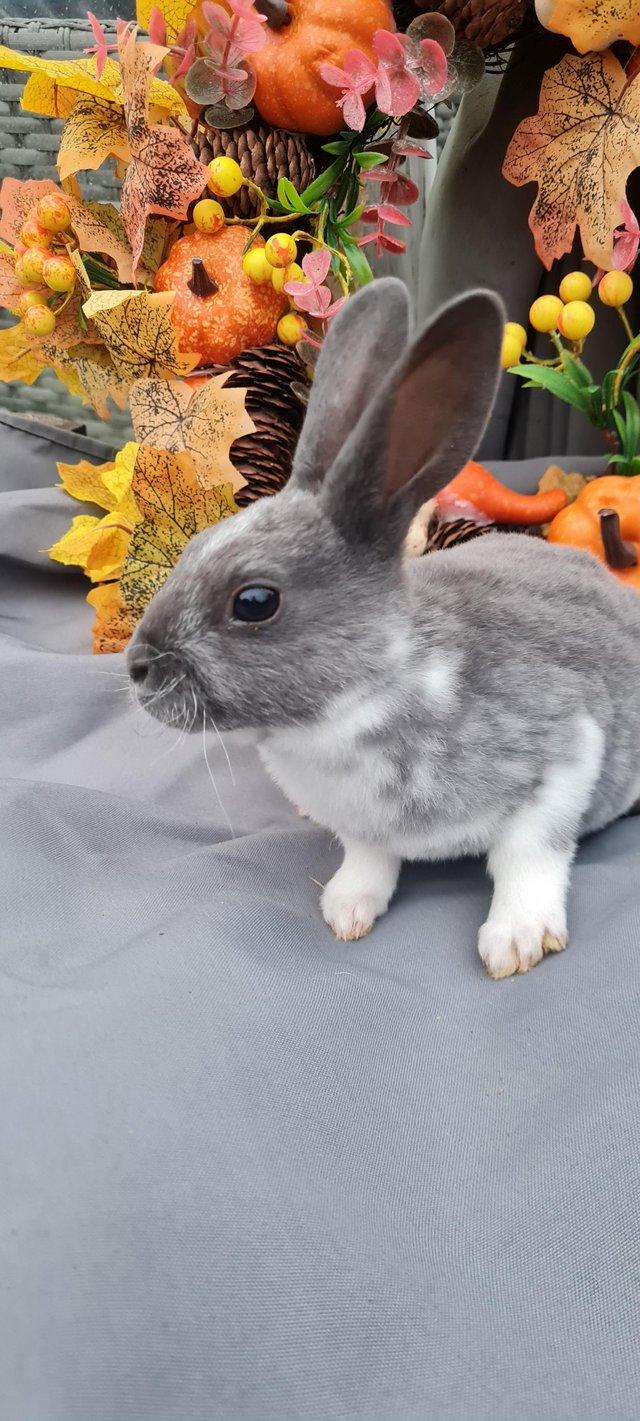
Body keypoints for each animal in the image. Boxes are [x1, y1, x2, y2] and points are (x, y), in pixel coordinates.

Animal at [127, 278, 640, 979]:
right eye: (193, 545)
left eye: (255, 601)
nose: (137, 668)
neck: (371, 692)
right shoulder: (364, 830)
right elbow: (369, 860)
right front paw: (346, 910)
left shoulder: (569, 751)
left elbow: (529, 856)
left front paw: (515, 941)